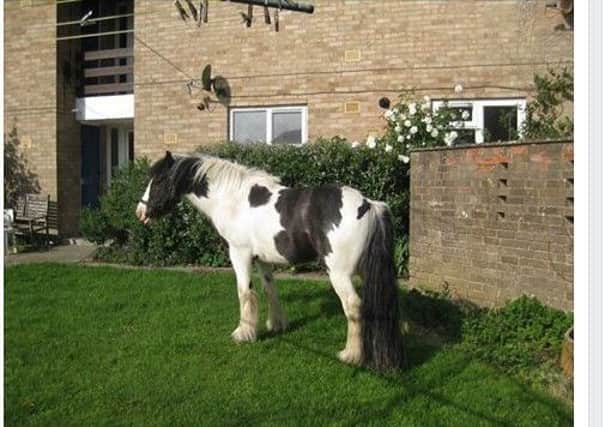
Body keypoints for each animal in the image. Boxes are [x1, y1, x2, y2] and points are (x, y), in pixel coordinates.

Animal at [134, 151, 404, 372]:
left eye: (159, 180)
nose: (140, 212)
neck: (233, 200)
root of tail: (369, 205)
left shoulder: (239, 254)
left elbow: (244, 292)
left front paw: (243, 333)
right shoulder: (262, 260)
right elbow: (269, 290)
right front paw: (276, 325)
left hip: (339, 274)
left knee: (354, 306)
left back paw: (351, 355)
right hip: (367, 272)